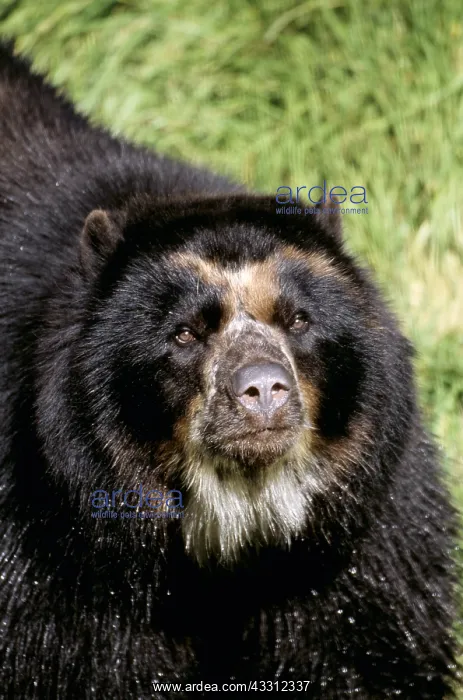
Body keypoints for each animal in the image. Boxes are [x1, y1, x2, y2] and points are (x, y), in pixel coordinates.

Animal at [0, 41, 459, 699]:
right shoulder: (60, 559)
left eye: (298, 319)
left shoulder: (360, 546)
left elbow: (367, 653)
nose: (263, 389)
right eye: (185, 333)